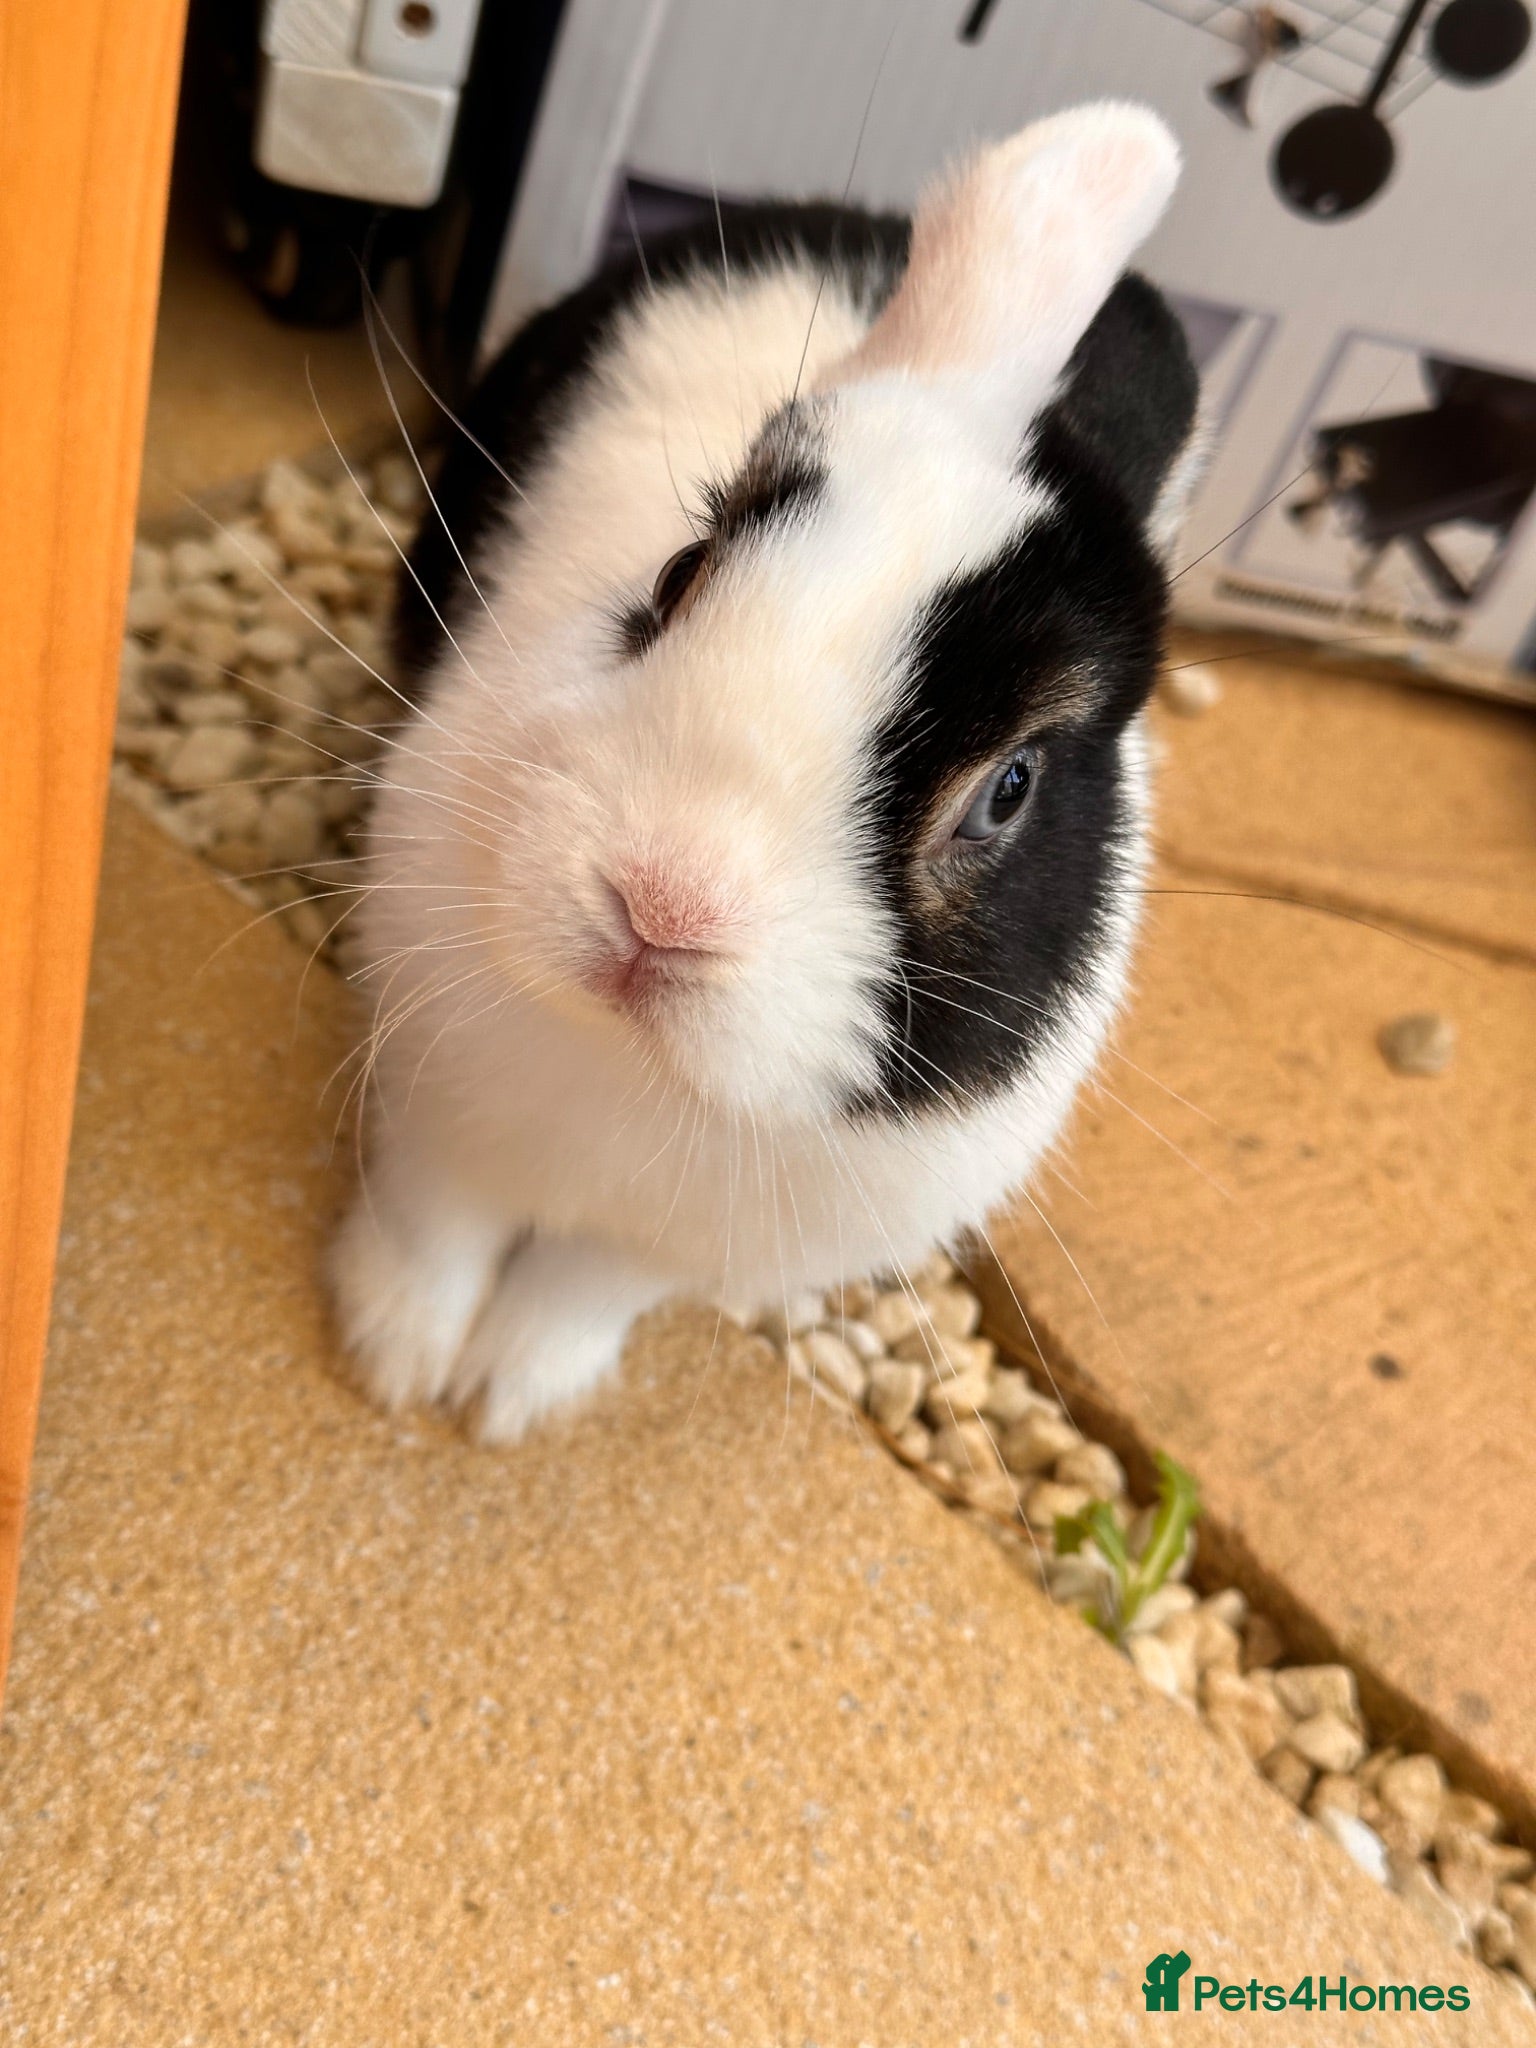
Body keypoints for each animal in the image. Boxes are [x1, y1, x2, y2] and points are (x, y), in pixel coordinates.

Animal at [330, 103, 1203, 1443]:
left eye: (1009, 788)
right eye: (679, 573)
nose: (659, 902)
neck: (629, 1063)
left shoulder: (671, 1248)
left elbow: (580, 1288)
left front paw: (513, 1393)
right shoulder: (442, 1113)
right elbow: (436, 1225)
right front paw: (397, 1359)